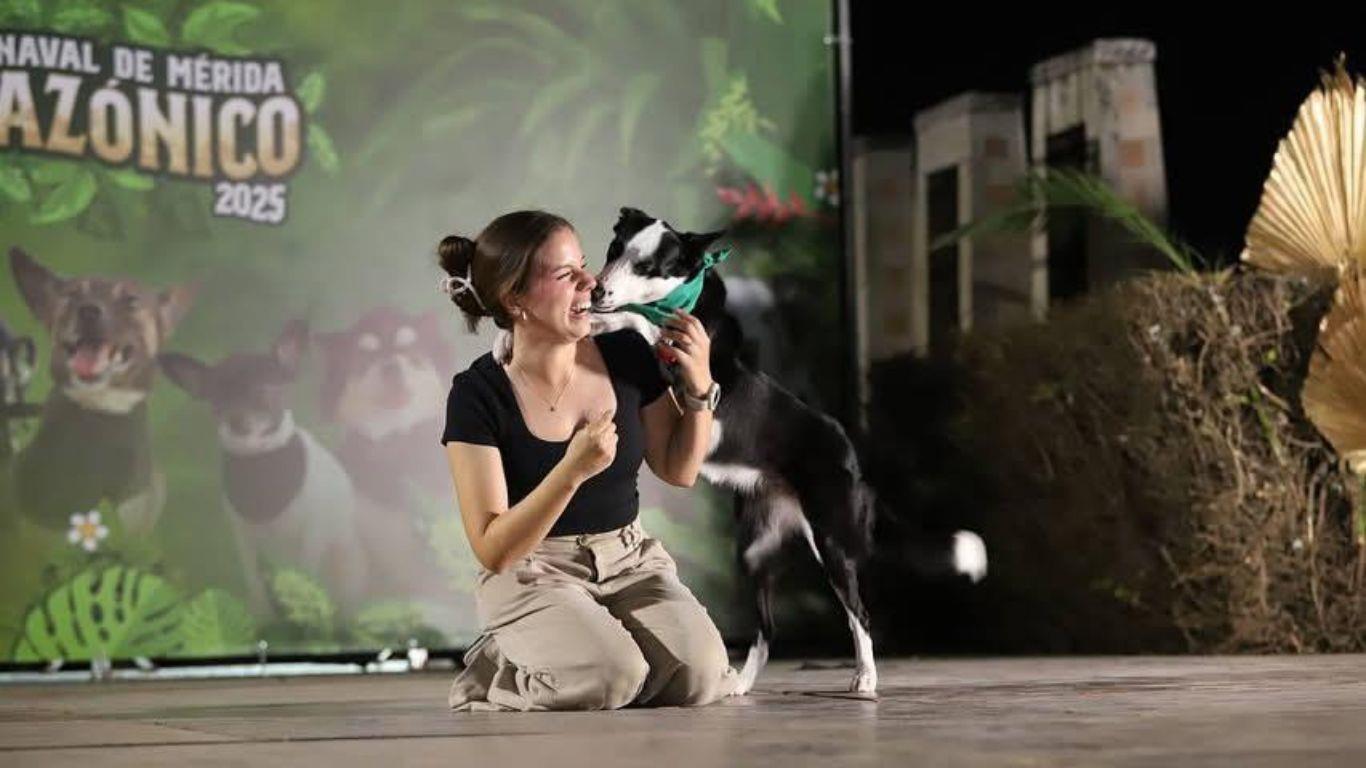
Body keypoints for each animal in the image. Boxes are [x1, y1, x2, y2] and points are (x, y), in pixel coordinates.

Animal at [592, 207, 988, 694]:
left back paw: (865, 679)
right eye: (615, 249)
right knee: (769, 629)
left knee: (859, 615)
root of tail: (856, 466)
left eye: (648, 266)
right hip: (755, 550)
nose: (596, 290)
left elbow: (642, 325)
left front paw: (607, 320)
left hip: (833, 541)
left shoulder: (694, 380)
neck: (683, 302)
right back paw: (740, 685)